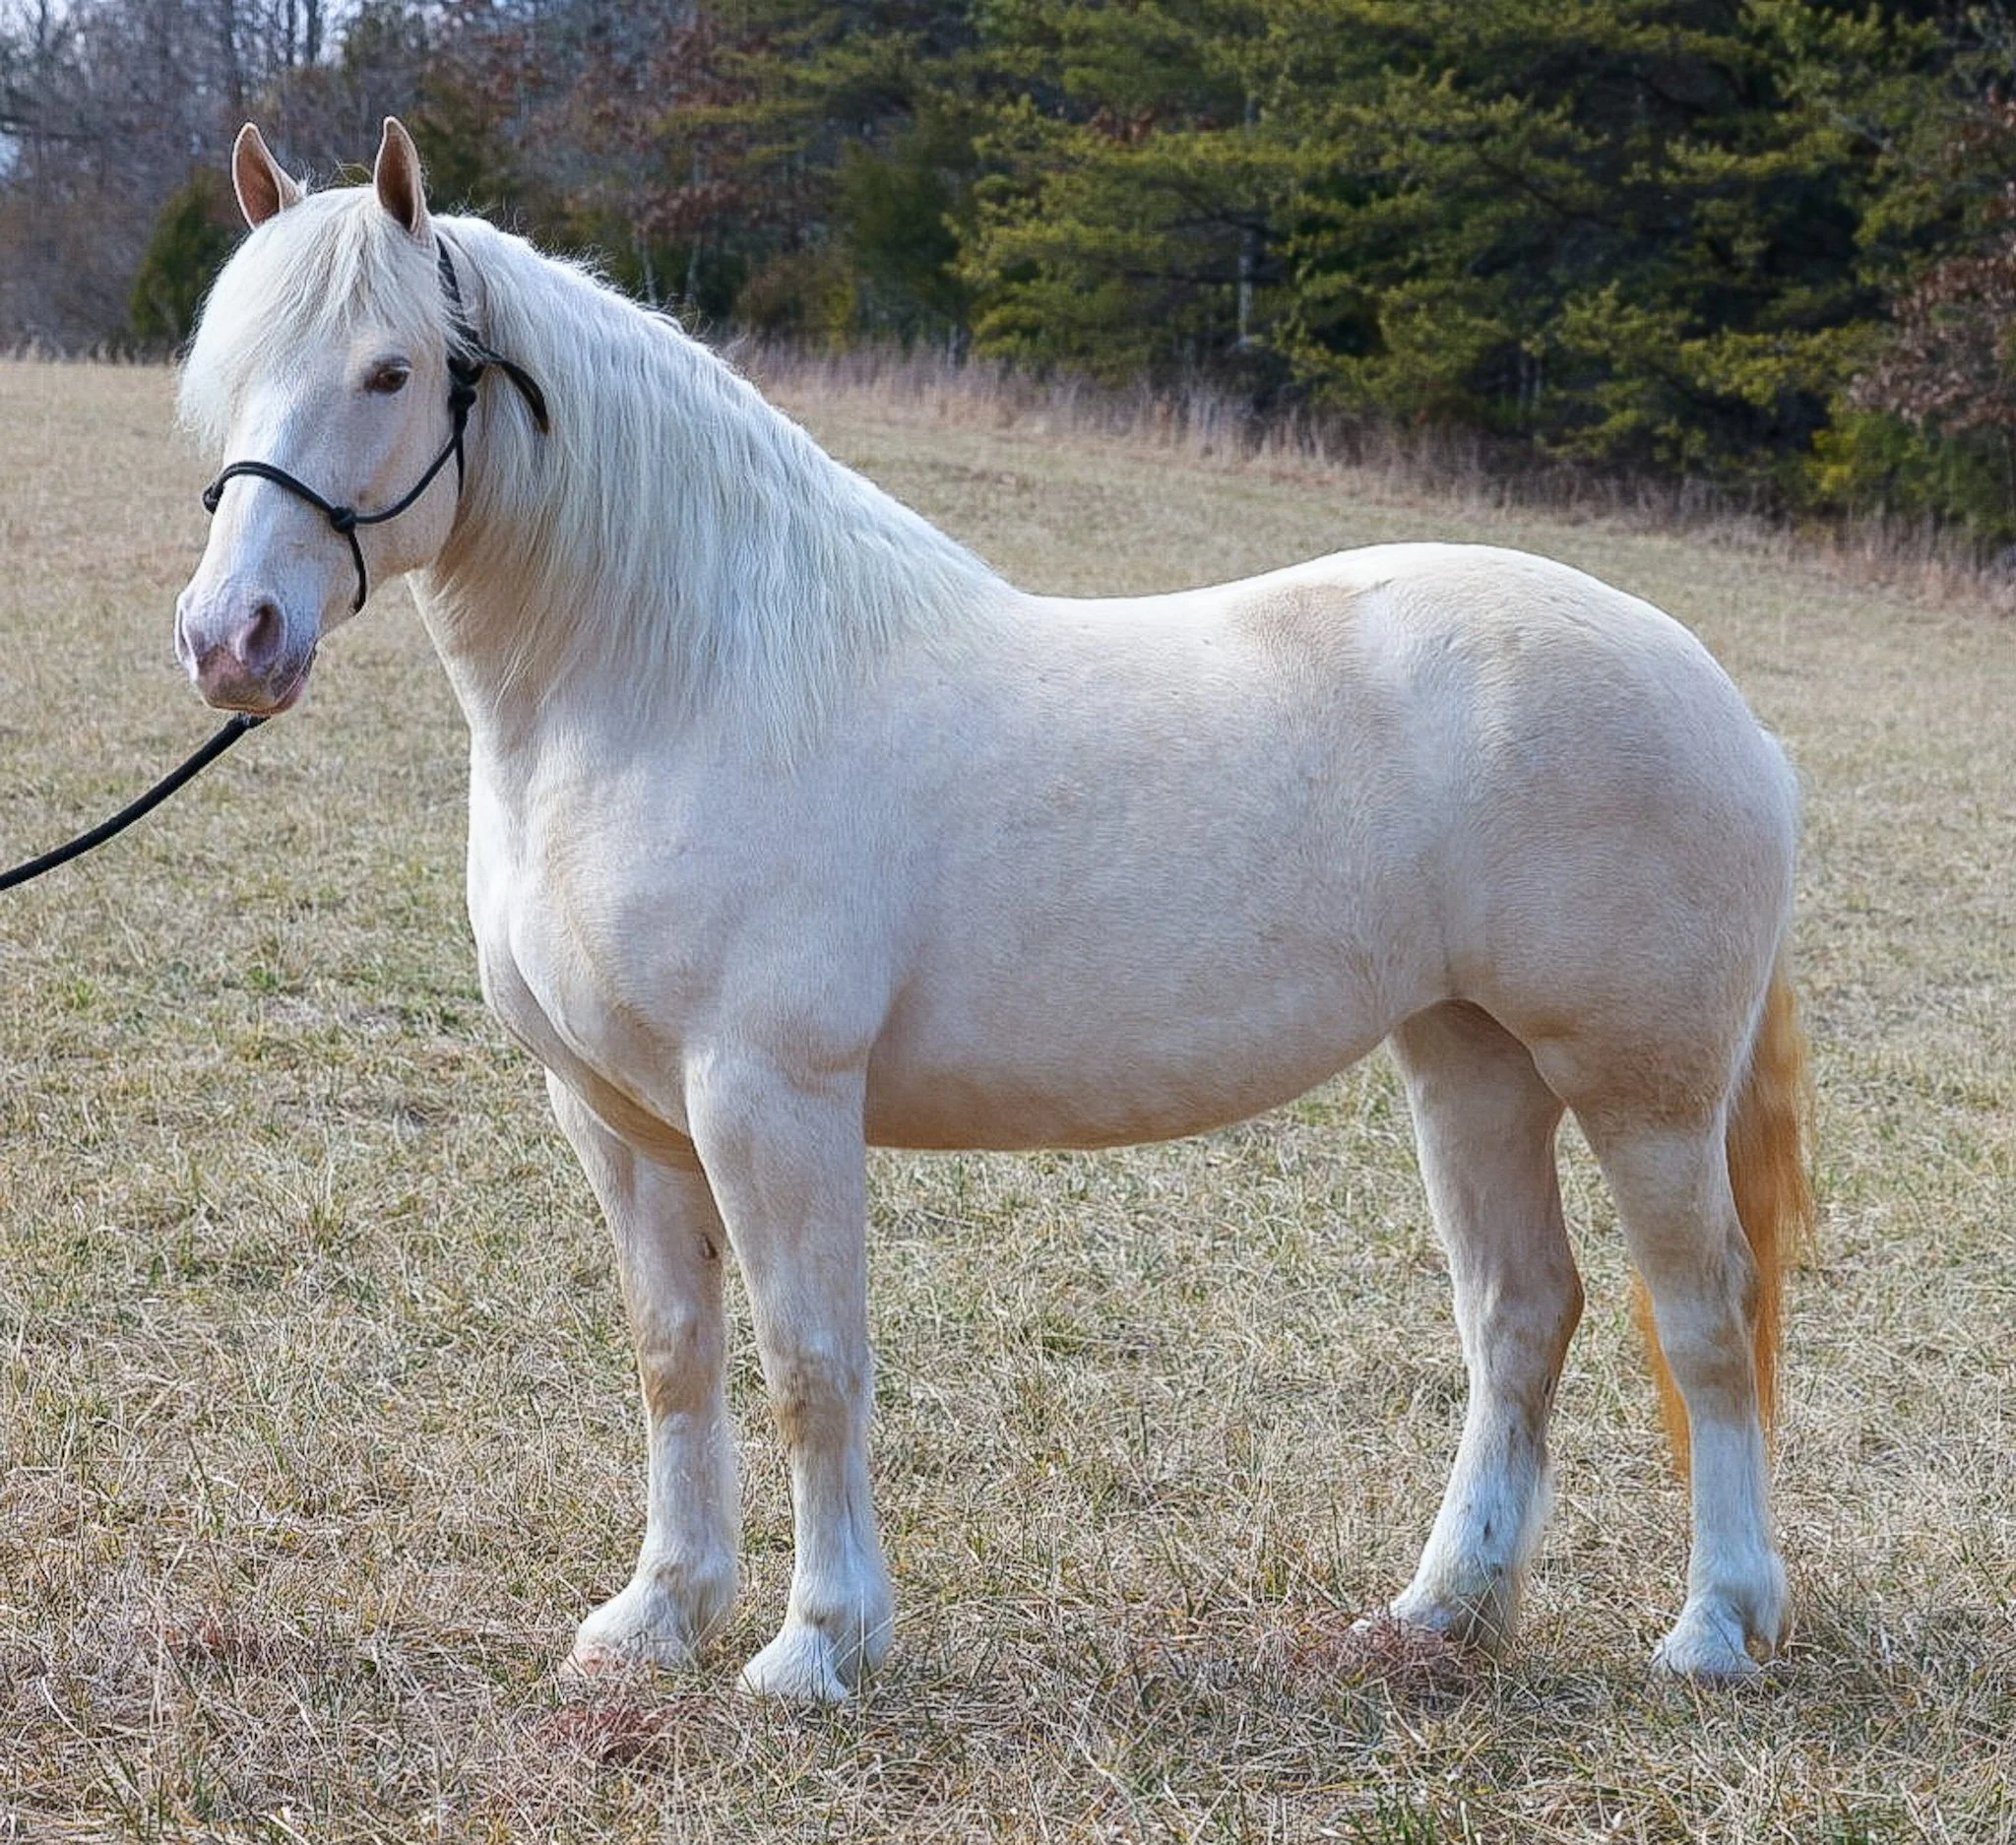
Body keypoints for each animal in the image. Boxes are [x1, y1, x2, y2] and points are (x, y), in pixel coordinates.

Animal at [172, 118, 1813, 1700]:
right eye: (226, 370)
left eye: (388, 370)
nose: (231, 638)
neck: (678, 680)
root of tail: (1723, 699)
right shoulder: (616, 1112)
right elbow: (673, 1354)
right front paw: (655, 1617)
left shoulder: (769, 1095)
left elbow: (808, 1360)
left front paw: (818, 1641)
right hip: (1470, 1060)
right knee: (1522, 1312)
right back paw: (1442, 1613)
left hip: (1641, 1087)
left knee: (1706, 1316)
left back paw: (1715, 1625)